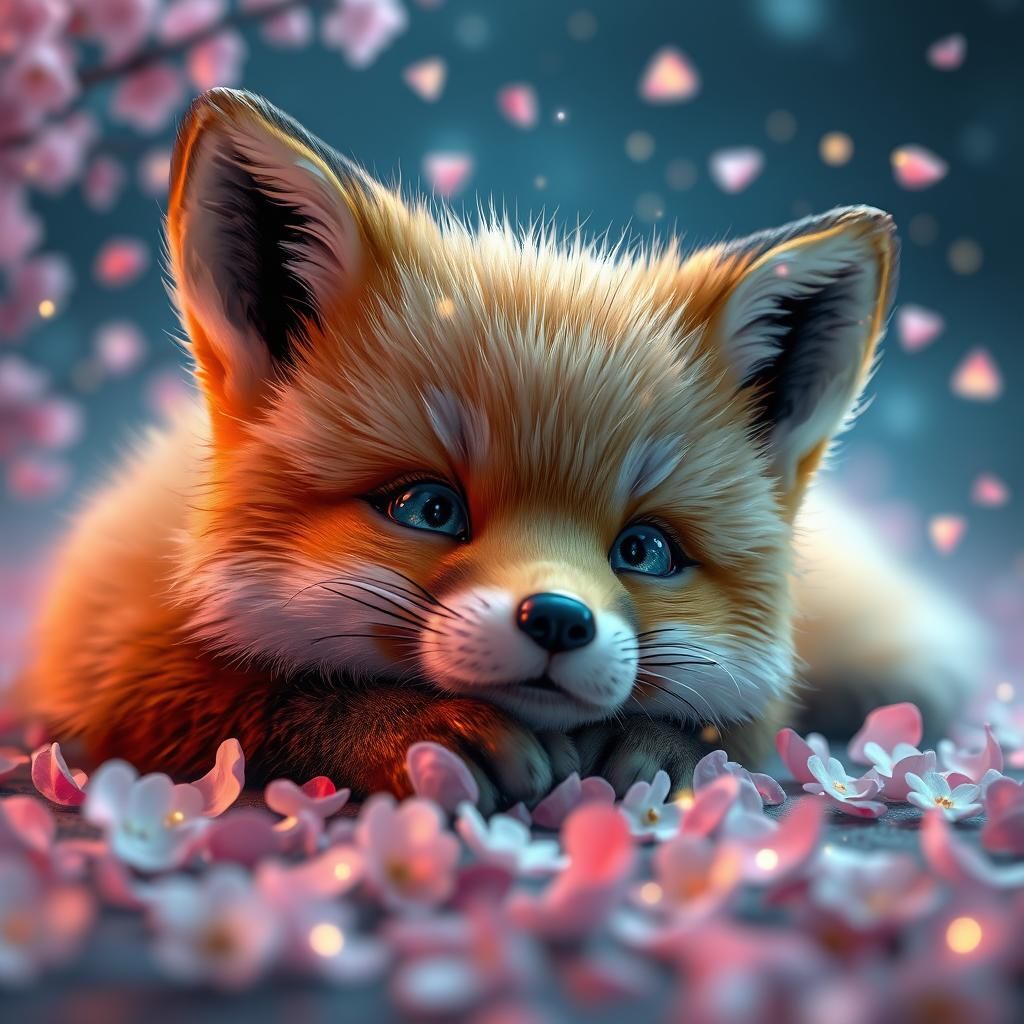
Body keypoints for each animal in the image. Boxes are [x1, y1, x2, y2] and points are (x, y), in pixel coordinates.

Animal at [16, 89, 987, 811]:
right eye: (428, 508)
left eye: (645, 551)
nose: (557, 619)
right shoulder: (106, 650)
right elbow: (237, 694)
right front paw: (407, 731)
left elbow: (743, 719)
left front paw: (661, 749)